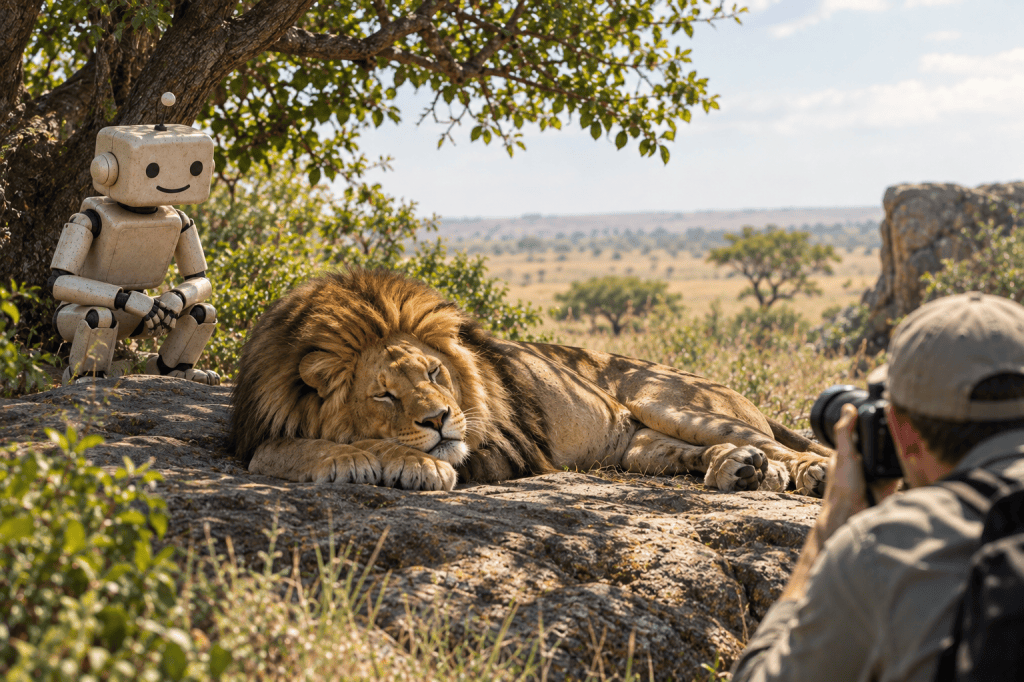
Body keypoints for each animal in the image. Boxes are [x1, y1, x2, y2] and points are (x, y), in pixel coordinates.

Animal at [231, 269, 831, 496]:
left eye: (434, 372)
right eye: (383, 393)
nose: (439, 418)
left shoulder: (500, 448)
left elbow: (416, 451)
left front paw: (411, 464)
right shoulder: (258, 432)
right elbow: (276, 450)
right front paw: (345, 457)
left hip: (662, 398)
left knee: (785, 444)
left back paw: (806, 472)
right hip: (637, 445)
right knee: (691, 452)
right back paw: (741, 470)